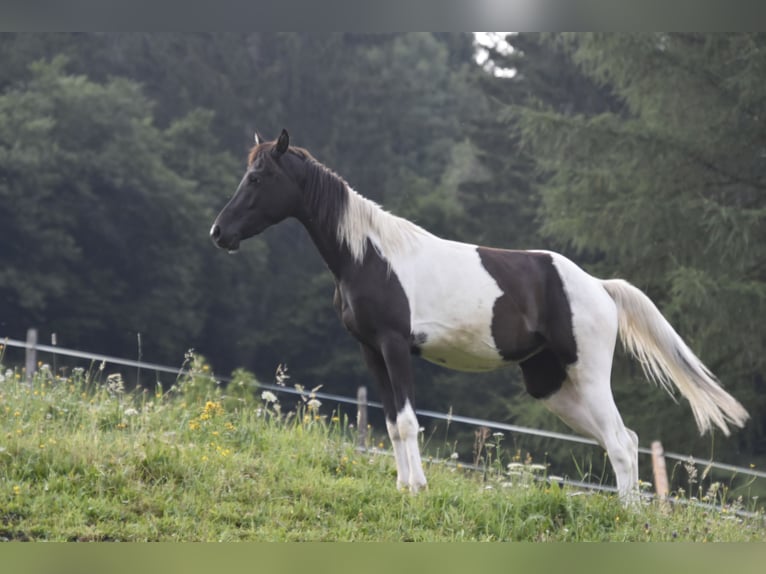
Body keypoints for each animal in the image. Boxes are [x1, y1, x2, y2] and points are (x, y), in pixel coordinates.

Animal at [210, 129, 752, 500]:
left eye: (258, 178)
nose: (219, 233)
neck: (370, 254)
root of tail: (598, 287)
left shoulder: (394, 346)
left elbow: (407, 422)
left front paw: (418, 491)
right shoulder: (370, 352)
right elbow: (390, 423)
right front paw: (403, 488)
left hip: (589, 376)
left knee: (620, 441)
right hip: (551, 387)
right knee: (623, 439)